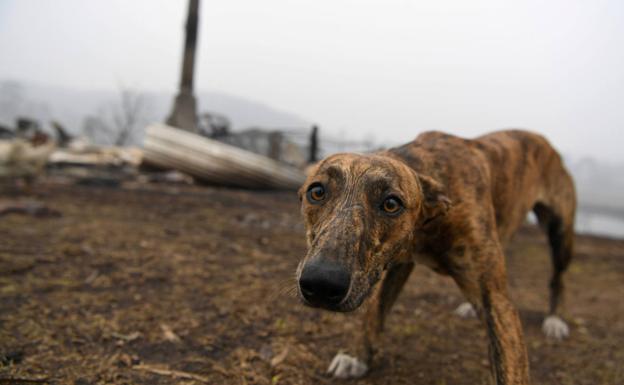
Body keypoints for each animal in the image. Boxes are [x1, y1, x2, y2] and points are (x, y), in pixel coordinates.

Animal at [296, 130, 576, 384]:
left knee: (558, 278)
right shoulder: (397, 263)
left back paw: (555, 320)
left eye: (391, 203)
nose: (321, 284)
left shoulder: (497, 301)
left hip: (561, 235)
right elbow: (375, 311)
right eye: (317, 191)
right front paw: (357, 357)